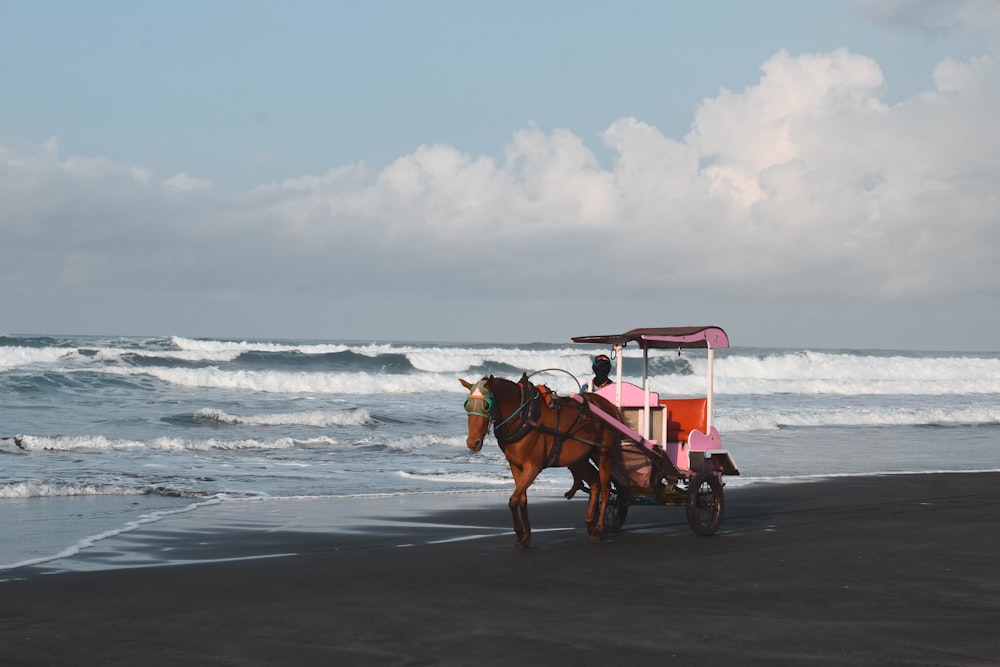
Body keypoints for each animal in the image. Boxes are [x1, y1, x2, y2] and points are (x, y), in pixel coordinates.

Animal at [462, 376, 620, 548]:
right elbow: (522, 499)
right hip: (579, 459)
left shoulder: (533, 466)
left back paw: (599, 527)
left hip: (605, 454)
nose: (472, 443)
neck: (524, 416)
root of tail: (608, 405)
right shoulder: (515, 465)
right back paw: (590, 523)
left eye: (486, 405)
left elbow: (513, 500)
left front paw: (520, 532)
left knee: (605, 488)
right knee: (595, 483)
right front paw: (525, 537)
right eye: (466, 405)